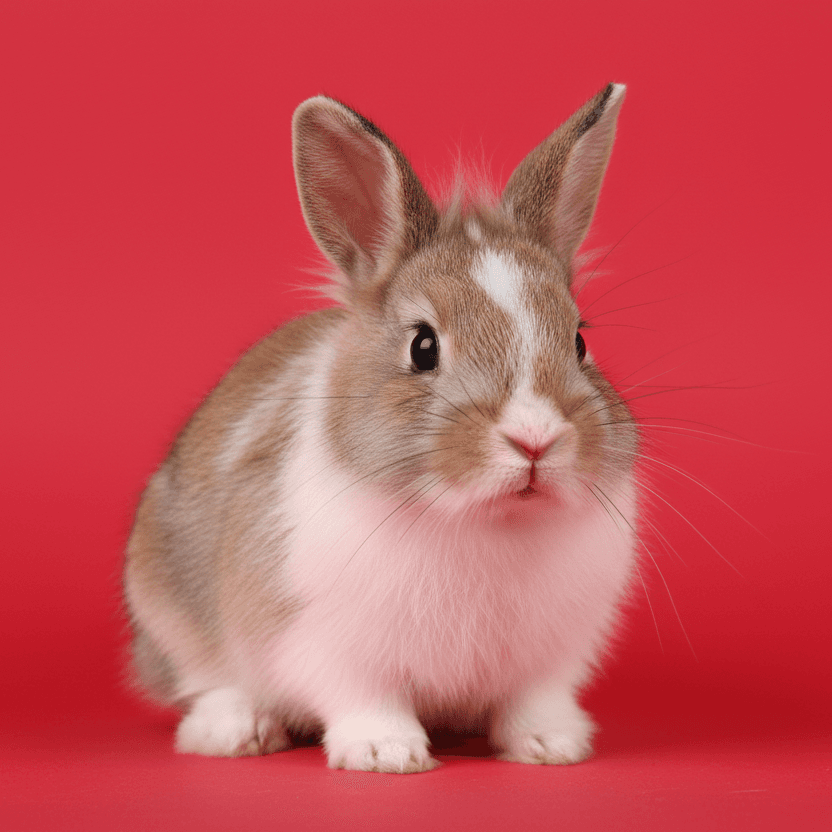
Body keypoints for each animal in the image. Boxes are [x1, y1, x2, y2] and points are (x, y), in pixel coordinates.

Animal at [124, 82, 639, 773]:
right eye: (423, 347)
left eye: (580, 340)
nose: (535, 439)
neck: (484, 521)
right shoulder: (329, 643)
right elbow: (365, 697)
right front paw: (384, 754)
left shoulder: (552, 656)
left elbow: (534, 699)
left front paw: (552, 745)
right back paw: (237, 731)